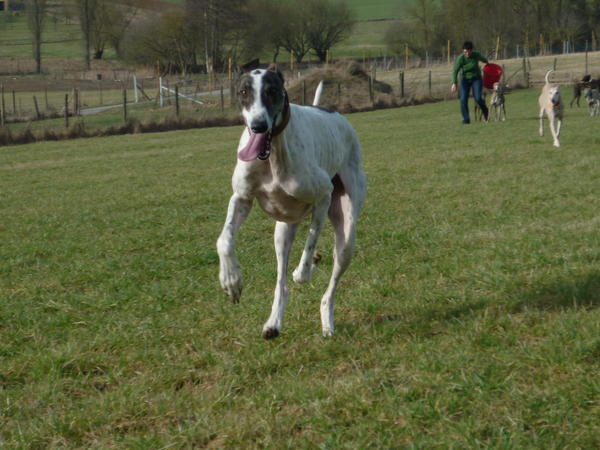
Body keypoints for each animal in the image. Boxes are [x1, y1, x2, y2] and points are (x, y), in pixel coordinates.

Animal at [216, 67, 366, 338]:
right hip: (283, 230)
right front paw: (231, 280)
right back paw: (273, 323)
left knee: (330, 285)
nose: (258, 126)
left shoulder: (324, 195)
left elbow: (309, 249)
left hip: (346, 233)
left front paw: (304, 269)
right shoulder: (241, 198)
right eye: (244, 92)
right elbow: (224, 240)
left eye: (272, 91)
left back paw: (327, 320)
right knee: (281, 284)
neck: (272, 154)